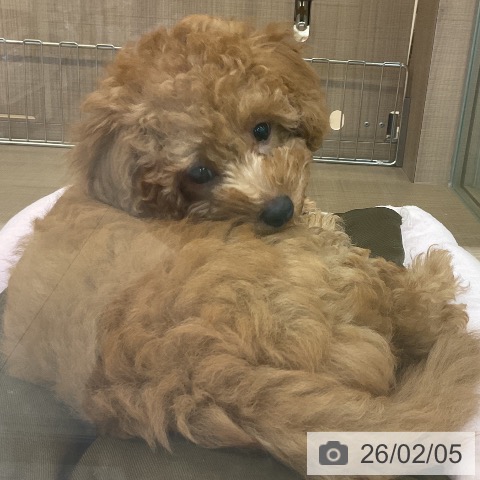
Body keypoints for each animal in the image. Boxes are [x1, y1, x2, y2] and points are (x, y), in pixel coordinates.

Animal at [2, 16, 480, 479]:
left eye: (262, 129)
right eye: (199, 171)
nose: (279, 209)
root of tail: (198, 372)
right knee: (410, 320)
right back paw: (437, 282)